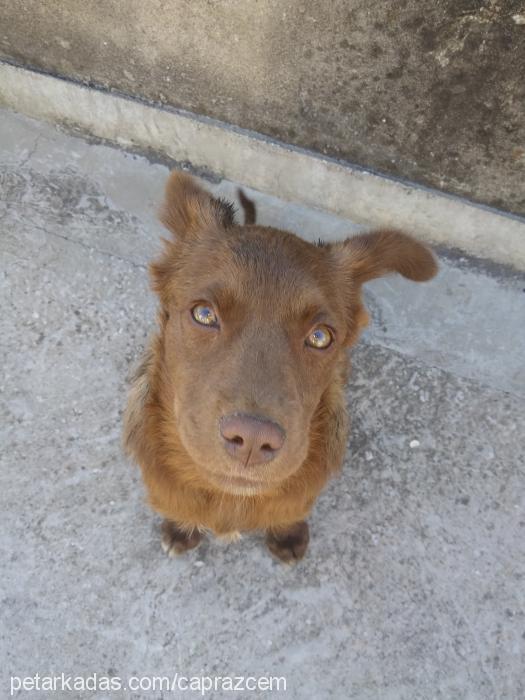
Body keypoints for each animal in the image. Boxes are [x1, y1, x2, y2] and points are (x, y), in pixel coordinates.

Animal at [123, 171, 434, 564]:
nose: (253, 440)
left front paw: (288, 536)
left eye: (320, 336)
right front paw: (181, 527)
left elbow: (290, 513)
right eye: (204, 314)